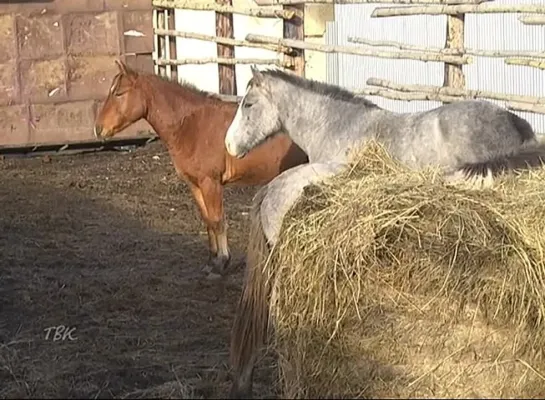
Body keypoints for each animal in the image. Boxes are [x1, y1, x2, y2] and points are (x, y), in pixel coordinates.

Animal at [93, 60, 306, 278]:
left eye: (119, 93)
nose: (98, 129)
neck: (192, 125)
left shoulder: (210, 182)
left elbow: (217, 220)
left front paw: (222, 263)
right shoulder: (194, 184)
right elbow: (207, 220)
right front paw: (211, 261)